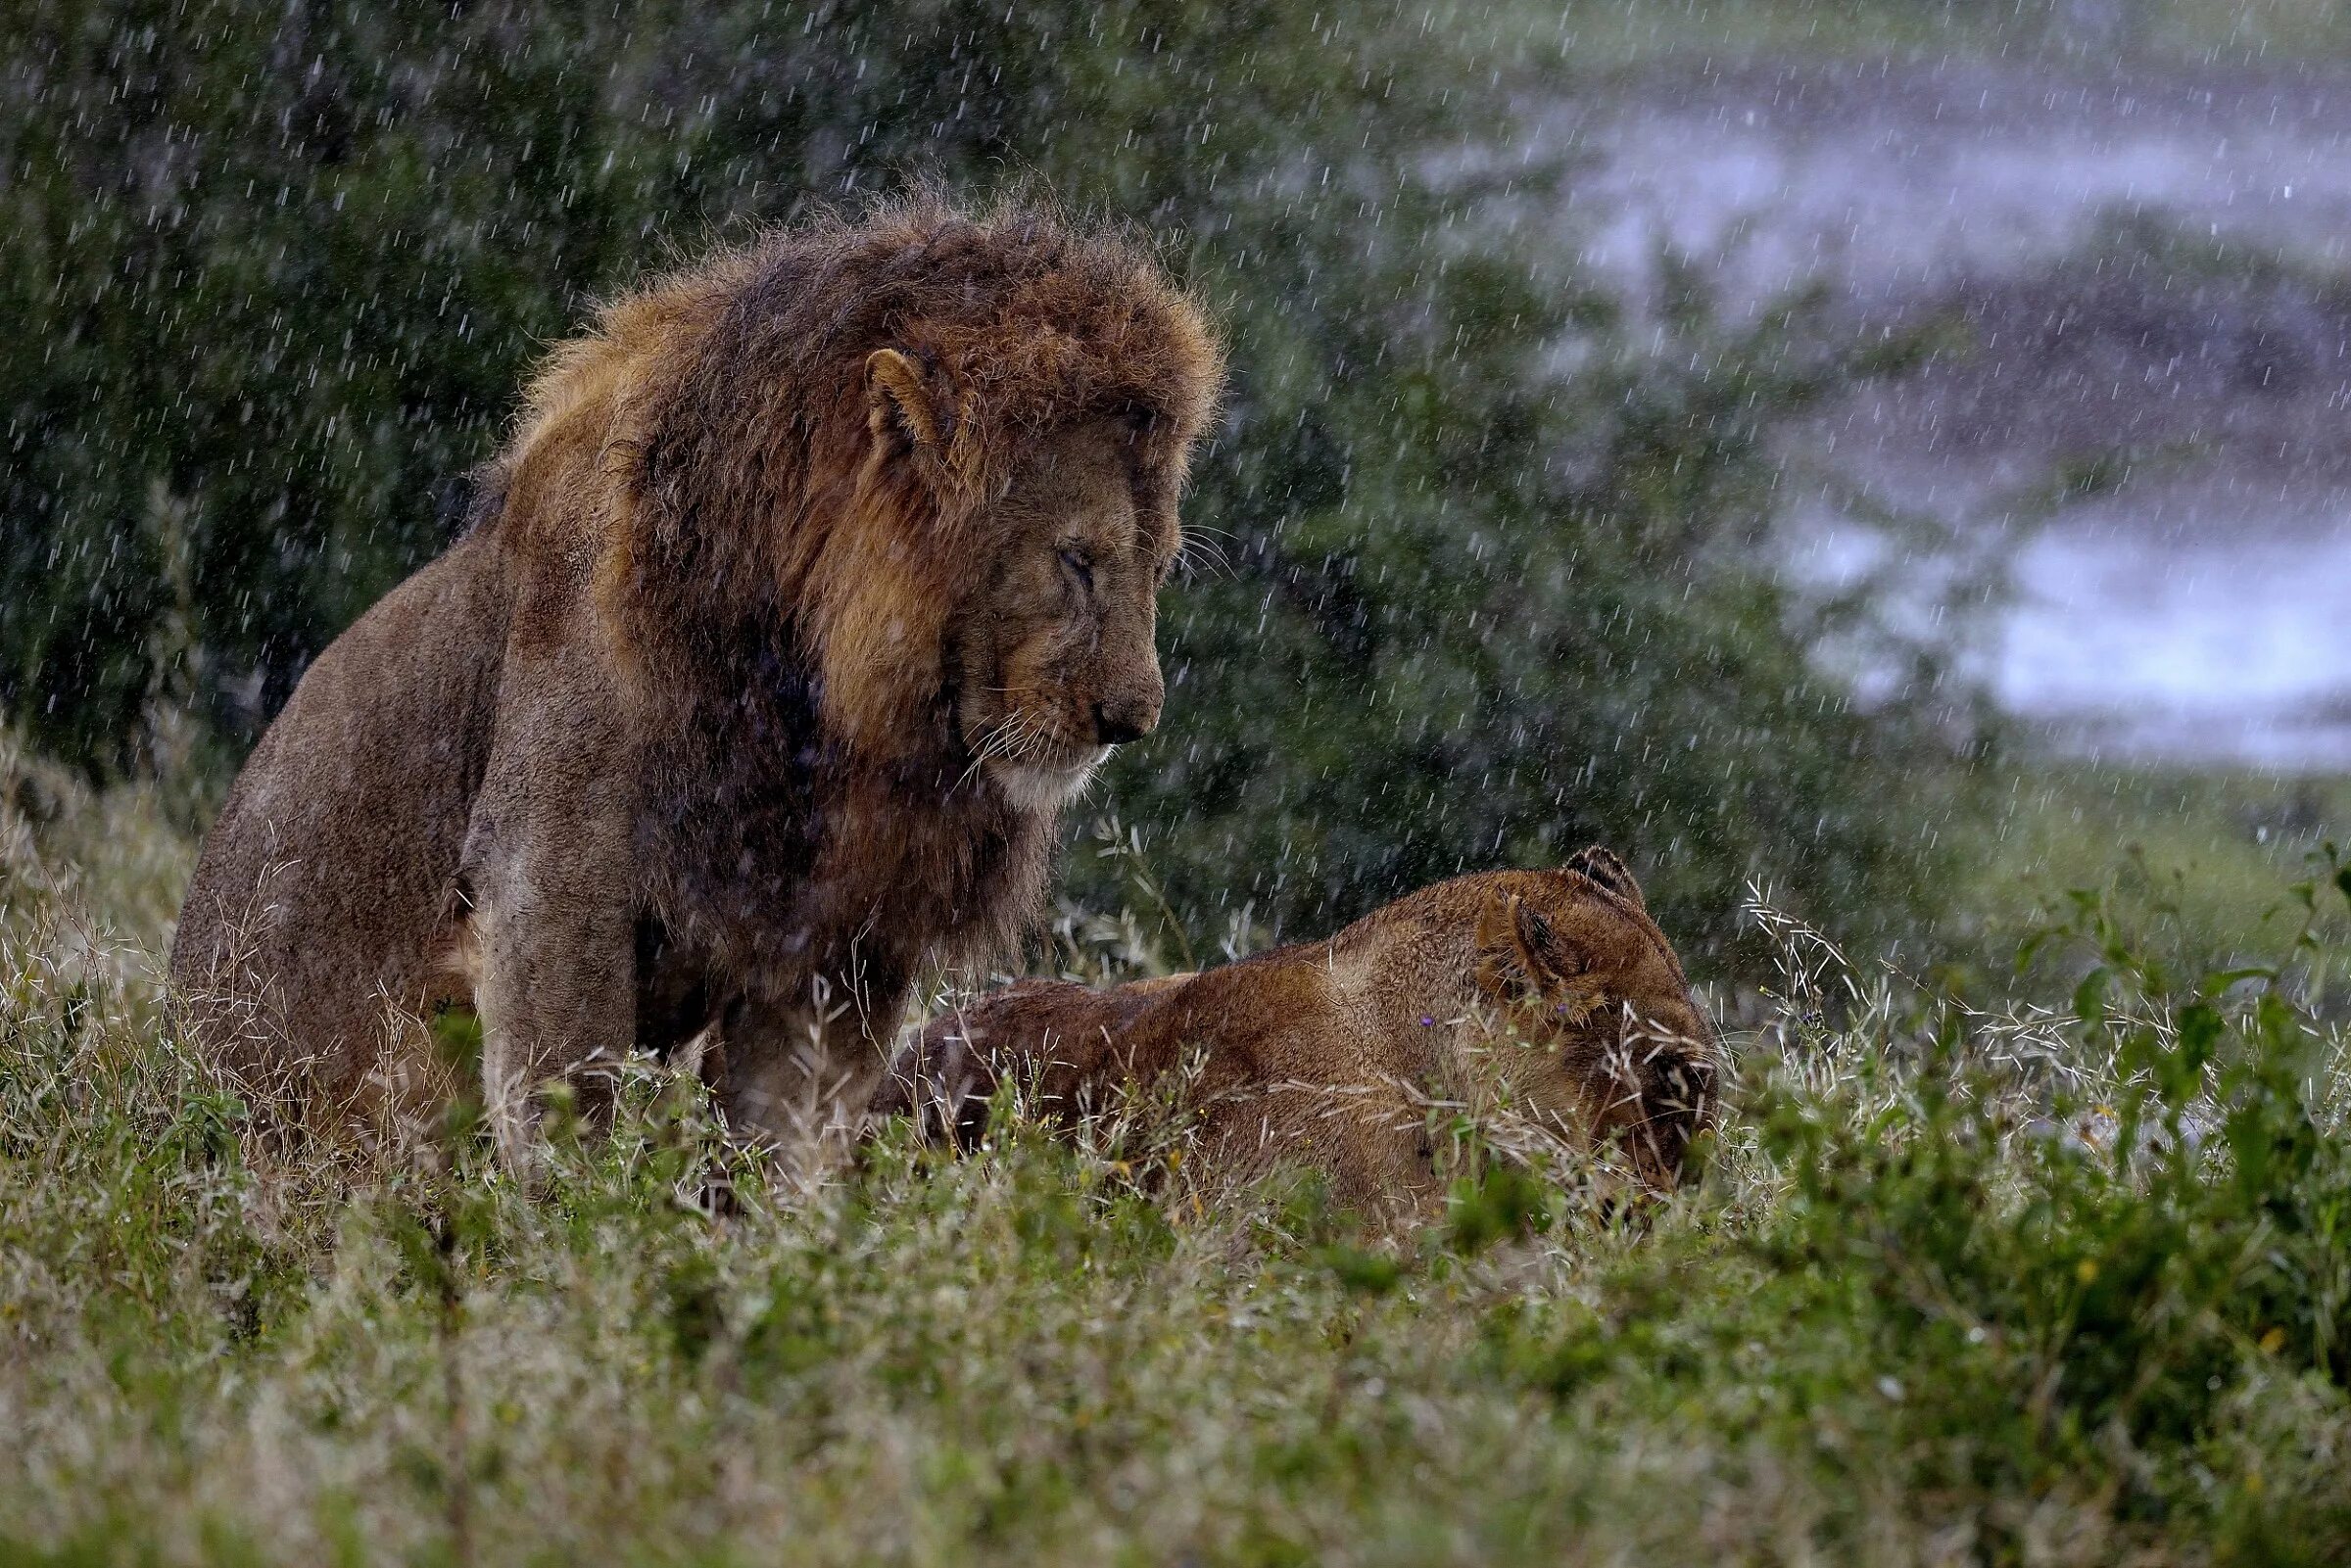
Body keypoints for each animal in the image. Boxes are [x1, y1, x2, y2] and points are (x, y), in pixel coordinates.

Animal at [170, 196, 1213, 1165]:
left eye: (1159, 565)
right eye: (1077, 560)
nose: (1133, 720)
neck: (824, 710)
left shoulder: (837, 945)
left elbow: (782, 1151)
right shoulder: (549, 875)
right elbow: (568, 1117)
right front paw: (588, 1235)